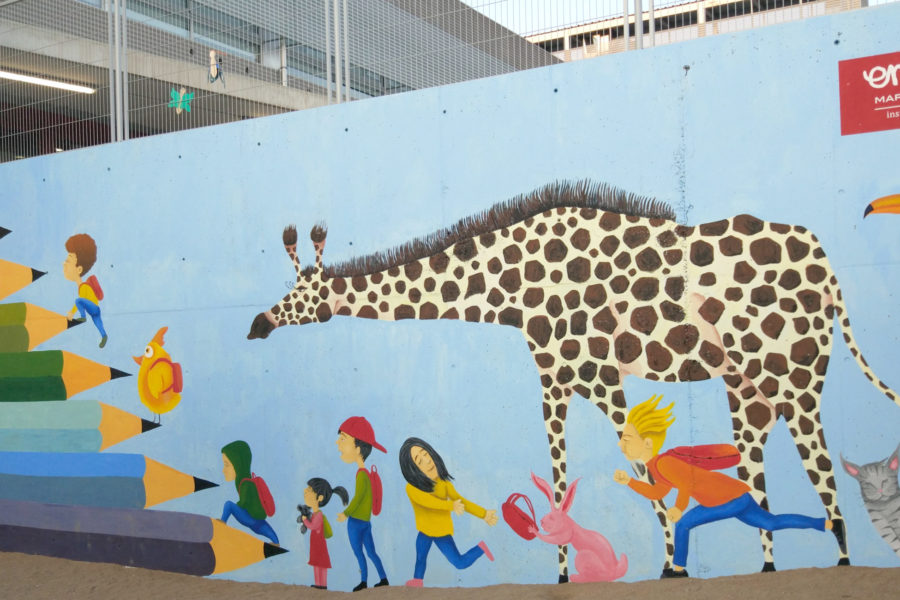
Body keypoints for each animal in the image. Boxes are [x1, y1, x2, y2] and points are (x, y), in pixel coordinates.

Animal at [248, 180, 900, 580]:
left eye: (300, 295)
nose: (257, 325)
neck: (514, 291)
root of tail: (827, 265)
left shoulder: (601, 376)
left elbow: (640, 472)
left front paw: (671, 567)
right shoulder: (555, 383)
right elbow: (559, 478)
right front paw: (563, 570)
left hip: (796, 374)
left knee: (821, 469)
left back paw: (841, 565)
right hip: (750, 387)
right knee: (760, 465)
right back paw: (769, 566)